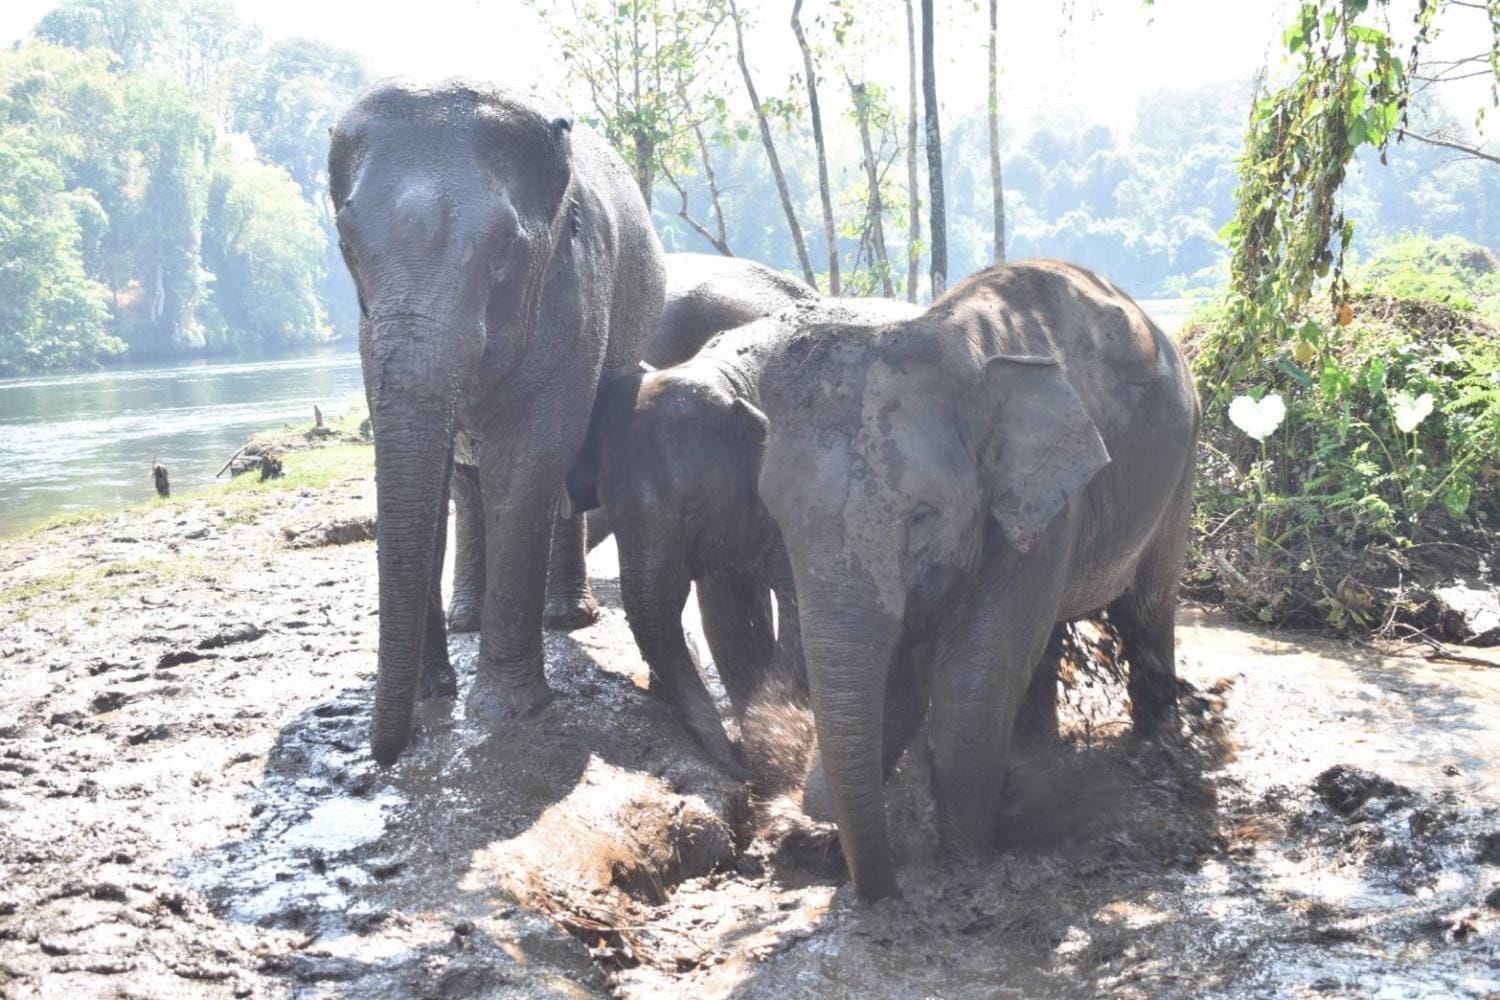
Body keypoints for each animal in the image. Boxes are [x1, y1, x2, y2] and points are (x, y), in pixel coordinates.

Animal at [329, 81, 665, 766]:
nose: (388, 753)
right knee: (464, 482)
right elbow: (428, 484)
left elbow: (530, 461)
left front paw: (507, 712)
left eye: (506, 248)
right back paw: (468, 620)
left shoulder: (574, 293)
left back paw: (565, 617)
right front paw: (434, 693)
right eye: (345, 243)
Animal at [564, 297, 921, 777]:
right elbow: (729, 618)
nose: (736, 766)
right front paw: (764, 752)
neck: (730, 378)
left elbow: (801, 618)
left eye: (694, 509)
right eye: (613, 513)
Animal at [756, 260, 1201, 901]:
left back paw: (1157, 747)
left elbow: (972, 678)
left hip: (1181, 464)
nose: (887, 891)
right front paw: (810, 829)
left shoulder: (1046, 507)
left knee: (1147, 610)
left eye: (923, 516)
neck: (954, 338)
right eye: (776, 514)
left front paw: (968, 859)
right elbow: (902, 677)